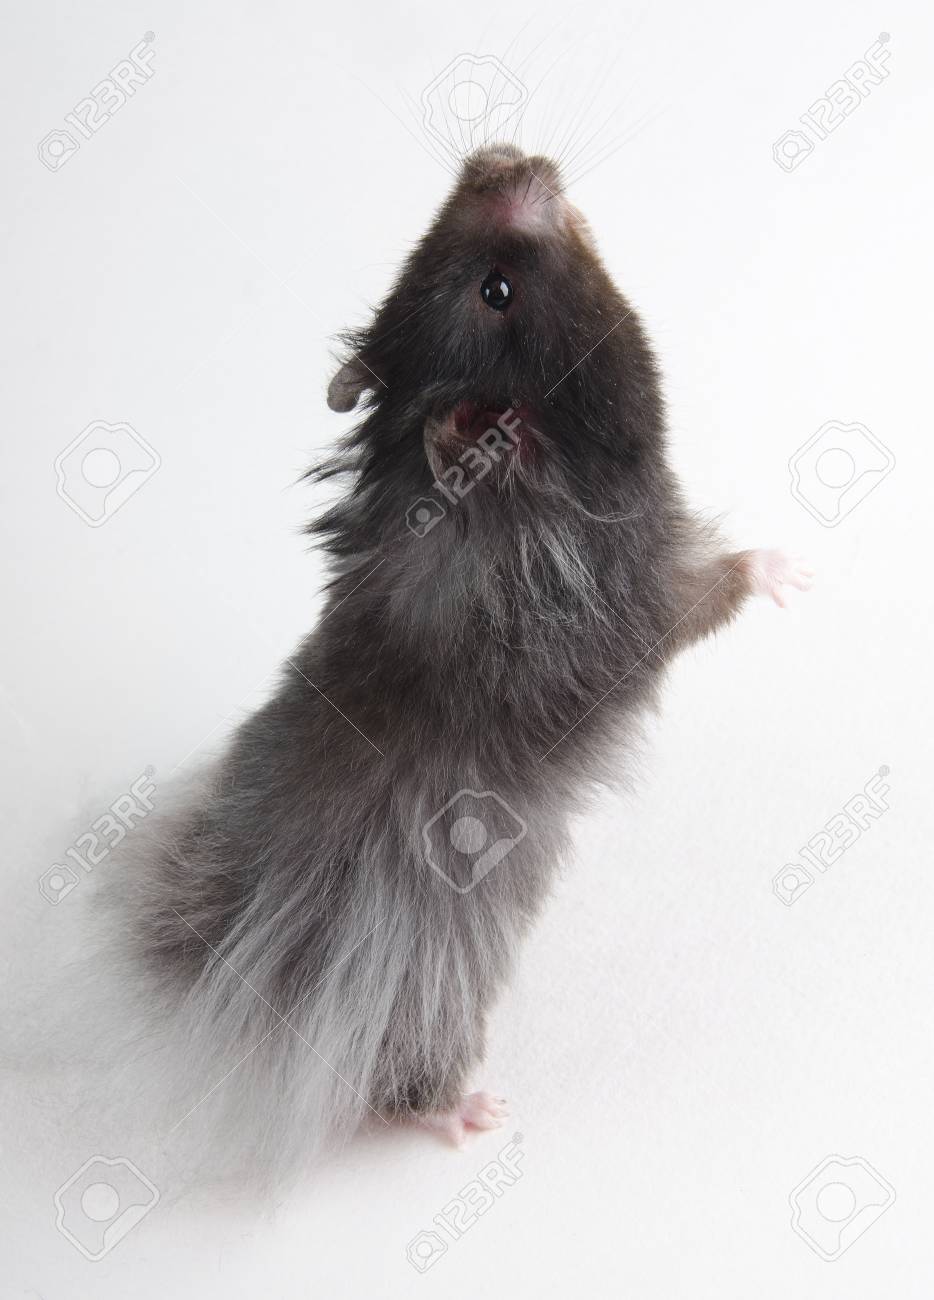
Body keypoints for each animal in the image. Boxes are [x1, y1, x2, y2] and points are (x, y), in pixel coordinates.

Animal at [118, 143, 811, 1163]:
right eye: (497, 290)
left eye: (427, 259)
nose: (502, 155)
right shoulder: (646, 601)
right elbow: (720, 585)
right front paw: (795, 570)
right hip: (423, 978)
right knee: (403, 1079)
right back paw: (476, 1115)